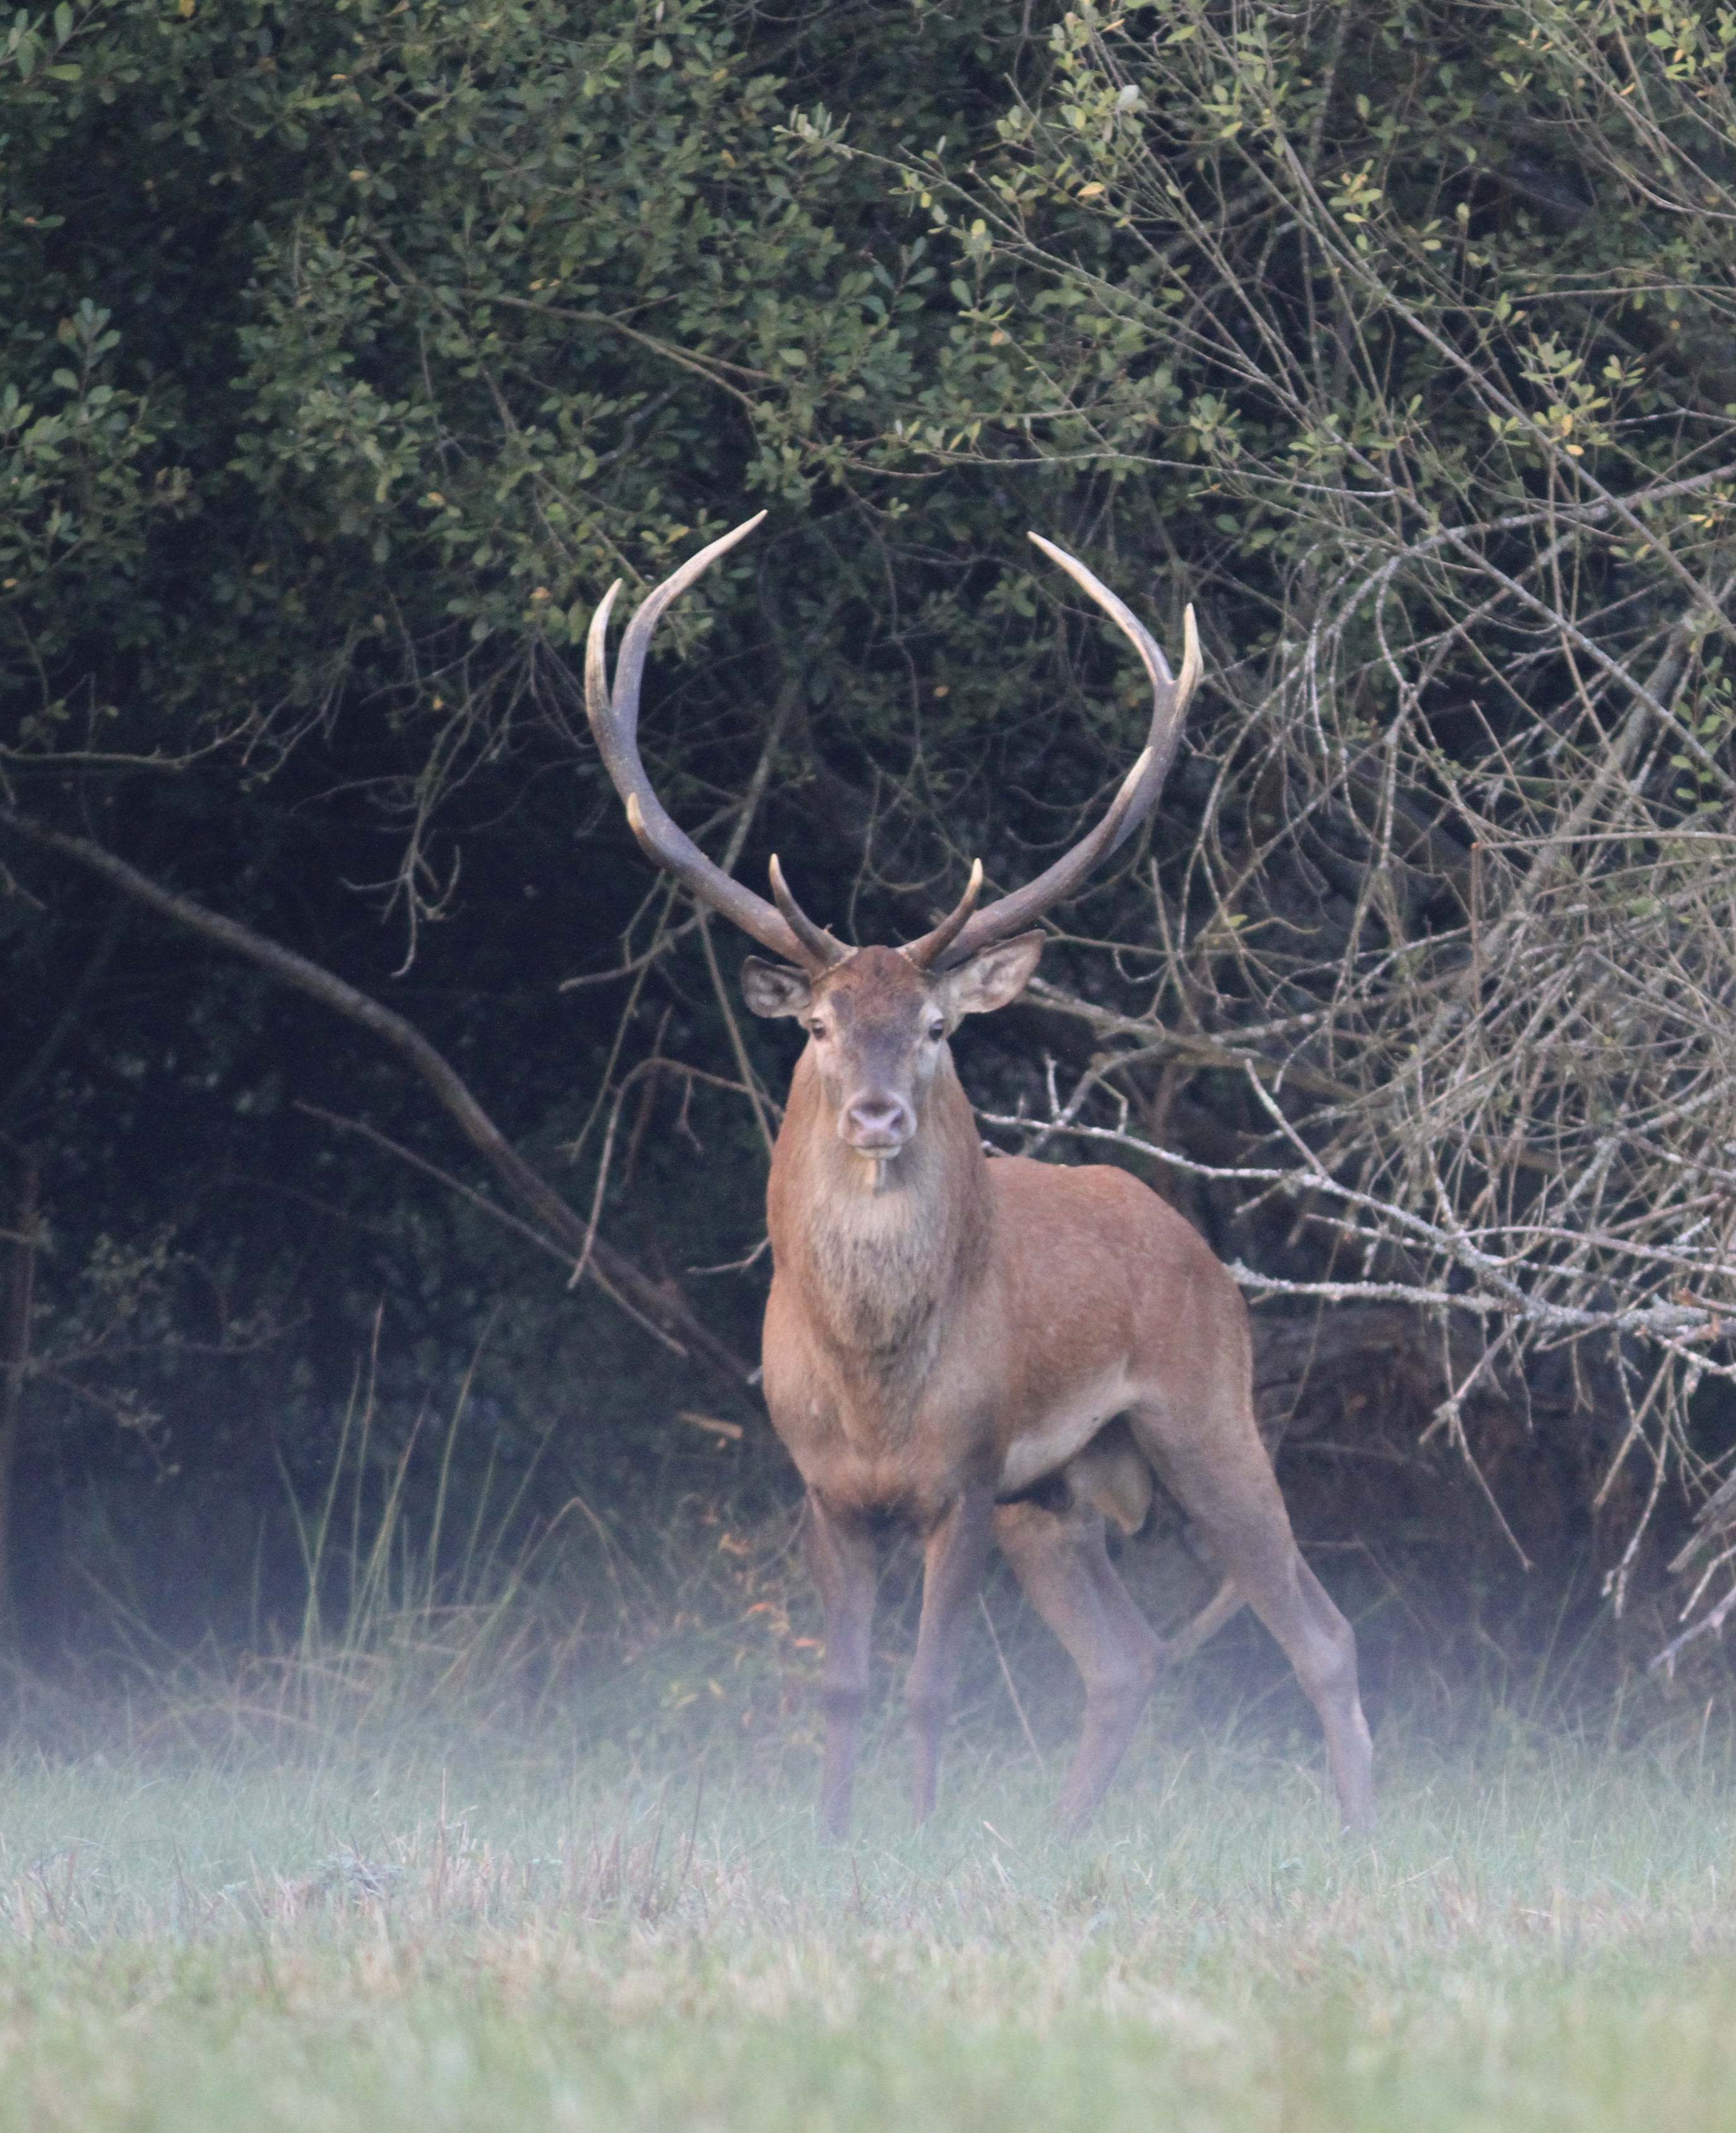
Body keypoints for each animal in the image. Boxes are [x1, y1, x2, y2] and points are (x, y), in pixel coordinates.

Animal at [585, 515, 1375, 1836]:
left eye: (939, 1025)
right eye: (818, 1025)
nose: (878, 1111)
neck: (875, 1390)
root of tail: (1202, 1247)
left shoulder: (963, 1475)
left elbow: (929, 1685)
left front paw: (914, 1833)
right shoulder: (824, 1488)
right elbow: (846, 1683)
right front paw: (836, 1837)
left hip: (1205, 1413)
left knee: (1318, 1627)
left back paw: (1358, 1825)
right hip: (1051, 1497)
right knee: (1128, 1657)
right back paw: (1062, 1838)